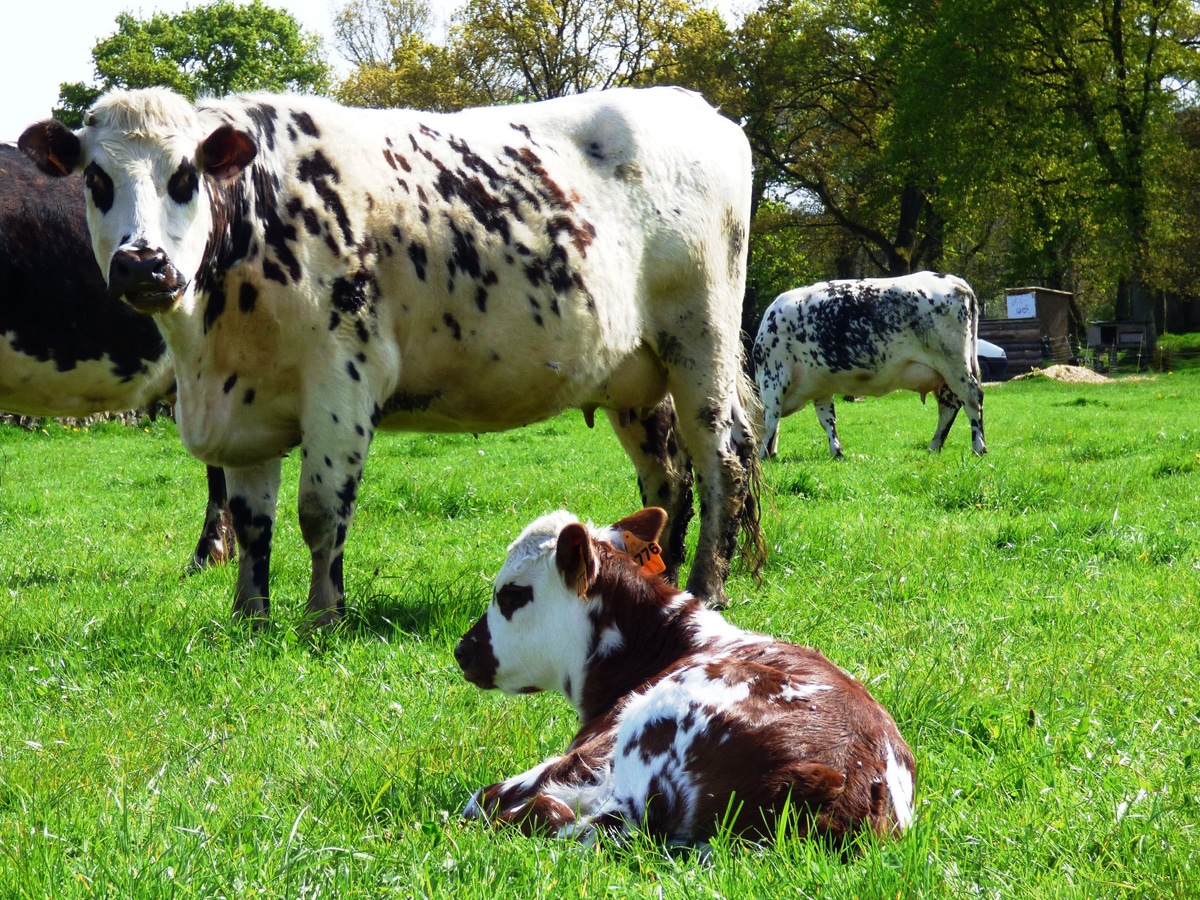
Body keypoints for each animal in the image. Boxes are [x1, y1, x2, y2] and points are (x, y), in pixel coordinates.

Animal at [752, 272, 987, 460]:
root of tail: (954, 281)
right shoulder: (820, 387)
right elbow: (827, 420)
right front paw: (836, 451)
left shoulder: (773, 379)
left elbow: (770, 419)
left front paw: (763, 454)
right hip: (945, 374)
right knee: (949, 405)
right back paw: (934, 446)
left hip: (954, 364)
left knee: (972, 398)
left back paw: (979, 447)